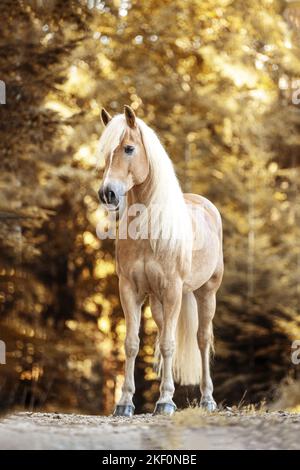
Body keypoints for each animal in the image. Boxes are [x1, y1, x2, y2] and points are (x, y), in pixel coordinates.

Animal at [97, 105, 224, 414]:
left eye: (129, 148)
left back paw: (207, 399)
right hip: (157, 301)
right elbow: (132, 343)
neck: (148, 230)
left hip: (206, 293)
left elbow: (168, 344)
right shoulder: (130, 290)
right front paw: (124, 403)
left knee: (203, 339)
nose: (107, 193)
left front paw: (166, 401)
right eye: (106, 152)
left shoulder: (173, 290)